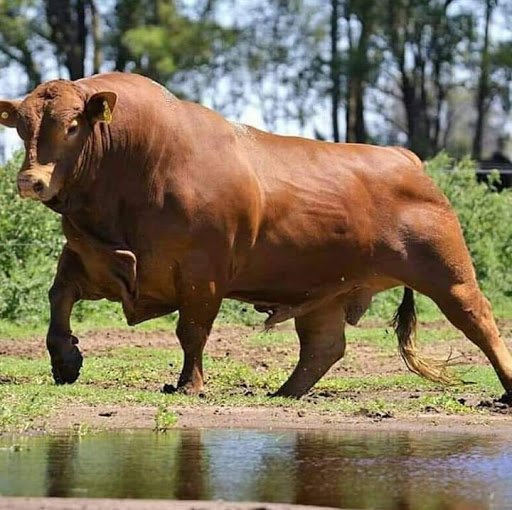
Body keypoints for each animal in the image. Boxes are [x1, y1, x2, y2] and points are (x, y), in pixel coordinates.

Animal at [1, 71, 512, 398]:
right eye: (23, 128)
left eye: (72, 126)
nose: (30, 181)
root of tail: (406, 157)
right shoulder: (89, 253)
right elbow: (58, 298)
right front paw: (65, 360)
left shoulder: (203, 273)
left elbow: (192, 330)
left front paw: (189, 385)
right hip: (325, 292)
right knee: (324, 346)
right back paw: (283, 394)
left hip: (449, 275)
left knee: (482, 322)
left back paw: (506, 389)